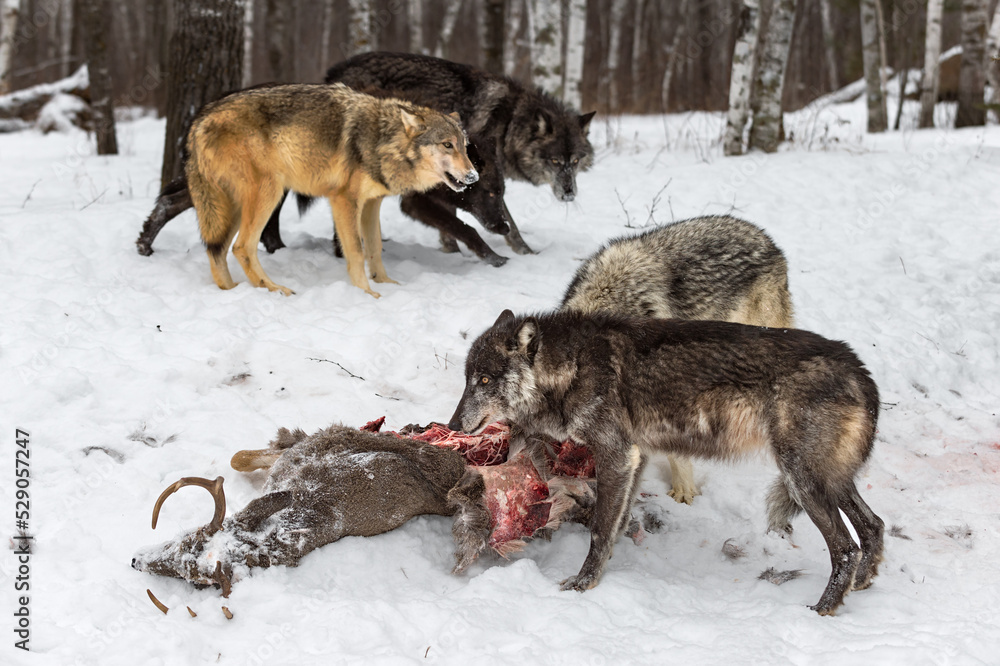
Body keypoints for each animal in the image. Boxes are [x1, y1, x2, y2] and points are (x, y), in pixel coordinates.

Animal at [185, 83, 478, 297]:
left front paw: (385, 283)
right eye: (447, 145)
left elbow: (375, 248)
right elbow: (357, 252)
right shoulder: (344, 201)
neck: (382, 139)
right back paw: (273, 289)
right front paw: (368, 295)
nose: (473, 176)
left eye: (464, 147)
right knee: (242, 247)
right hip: (269, 193)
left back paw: (231, 291)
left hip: (233, 206)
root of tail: (199, 121)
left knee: (216, 250)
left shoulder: (371, 204)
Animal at [325, 51, 597, 254]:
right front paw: (524, 251)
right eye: (554, 161)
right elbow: (505, 221)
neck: (509, 123)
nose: (569, 194)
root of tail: (333, 72)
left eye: (575, 161)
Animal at [448, 310, 883, 615]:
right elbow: (616, 522)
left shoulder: (617, 456)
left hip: (802, 481)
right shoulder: (636, 457)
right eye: (468, 378)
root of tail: (861, 371)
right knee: (873, 525)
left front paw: (584, 583)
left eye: (485, 380)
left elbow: (600, 530)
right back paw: (862, 583)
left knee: (845, 547)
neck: (573, 367)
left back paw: (822, 609)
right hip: (826, 480)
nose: (452, 425)